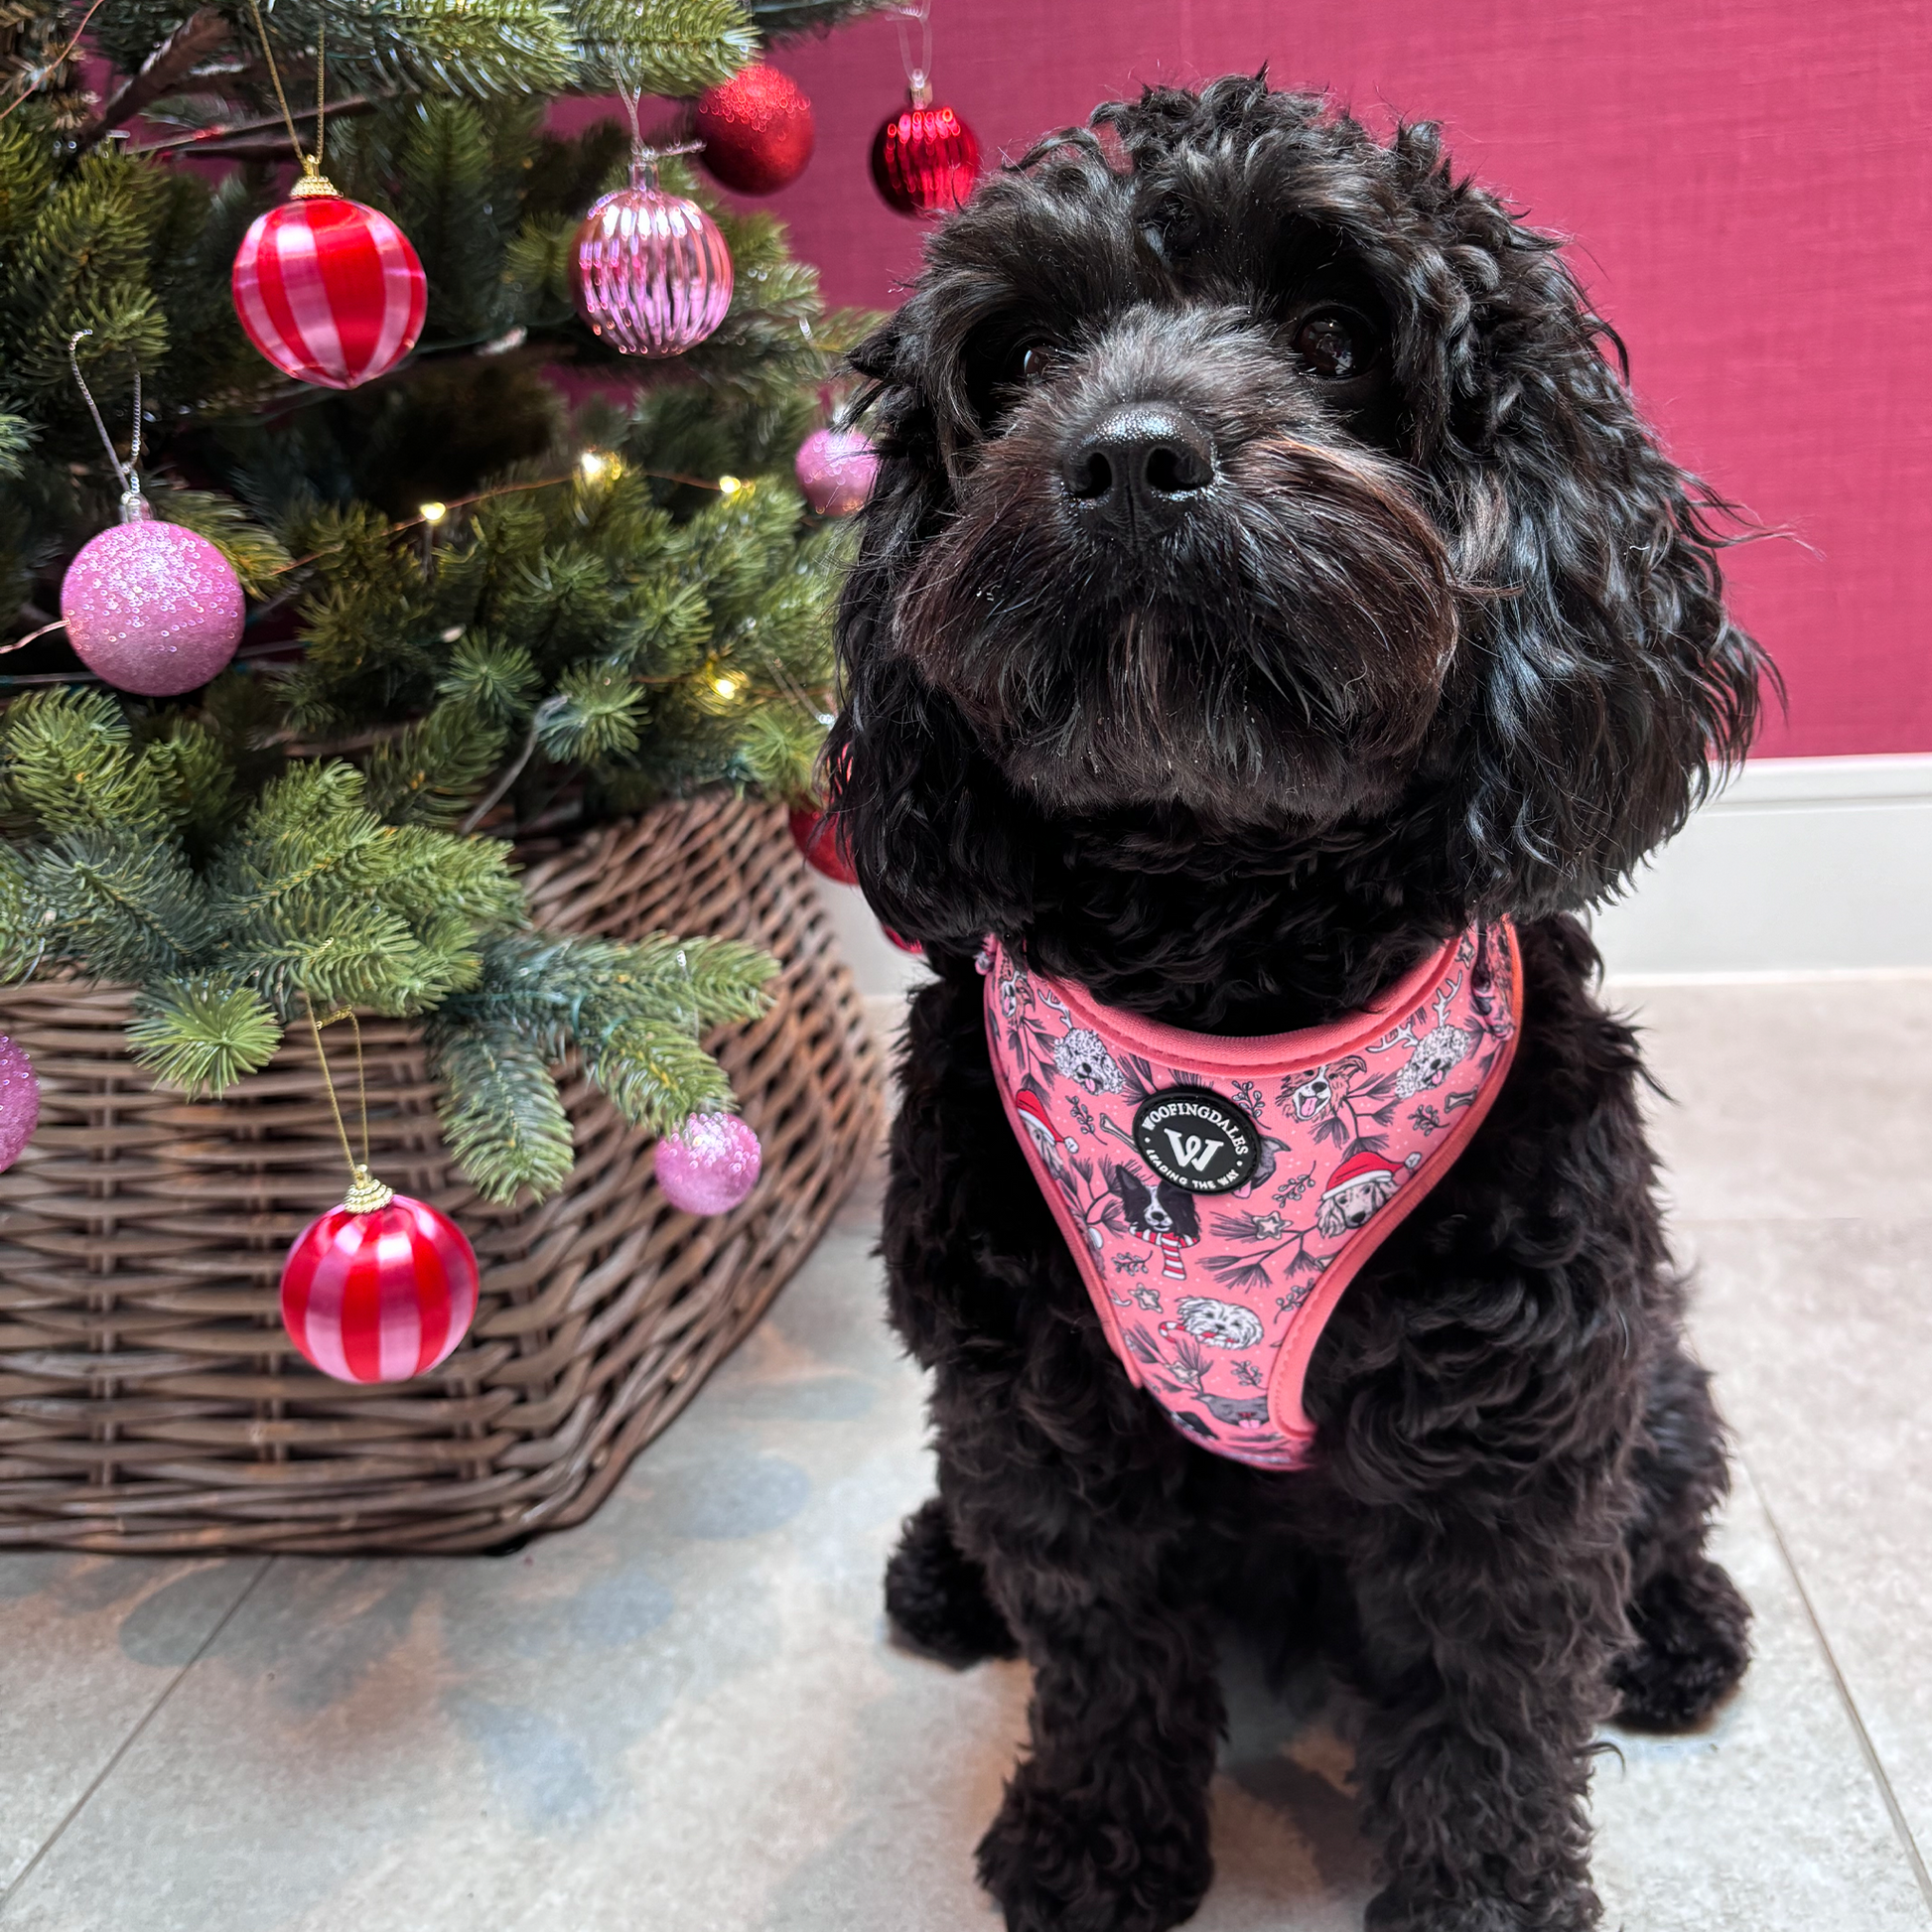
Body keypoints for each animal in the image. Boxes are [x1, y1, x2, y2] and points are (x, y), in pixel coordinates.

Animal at [822, 74, 1761, 1932]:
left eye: (1333, 333)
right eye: (1018, 359)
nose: (1129, 456)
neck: (1227, 964)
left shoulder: (1500, 1441)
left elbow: (1487, 1719)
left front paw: (1486, 1904)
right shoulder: (1042, 1408)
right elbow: (1099, 1653)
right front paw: (1090, 1846)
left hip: (1632, 1358)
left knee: (1667, 1474)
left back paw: (1675, 1628)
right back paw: (943, 1573)